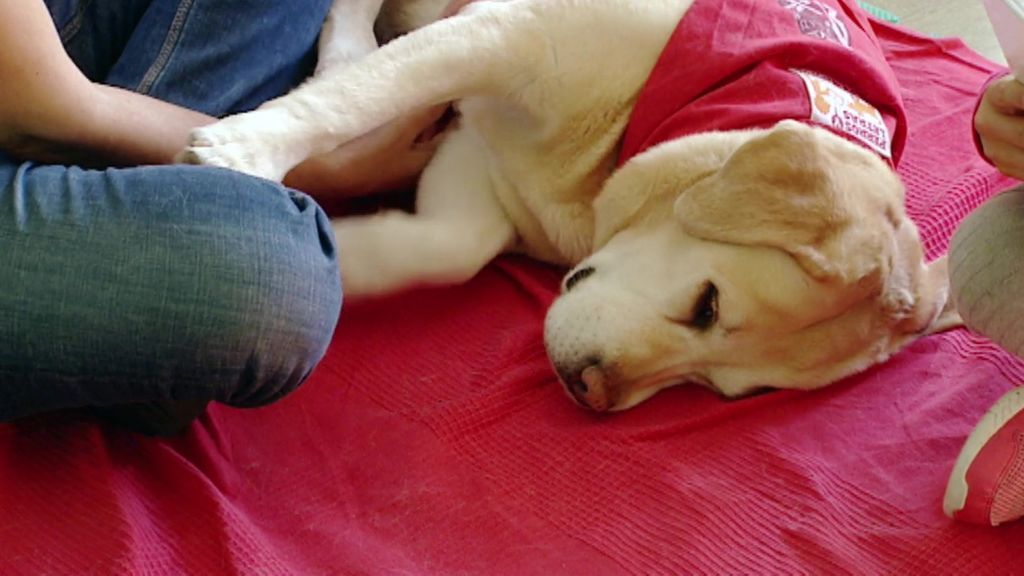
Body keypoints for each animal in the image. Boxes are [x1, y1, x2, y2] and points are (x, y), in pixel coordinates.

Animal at [178, 1, 958, 412]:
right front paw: (245, 151)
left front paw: (337, 242)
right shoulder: (510, 33)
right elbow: (356, 93)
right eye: (707, 304)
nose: (589, 392)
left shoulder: (473, 158)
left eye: (715, 388)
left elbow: (445, 250)